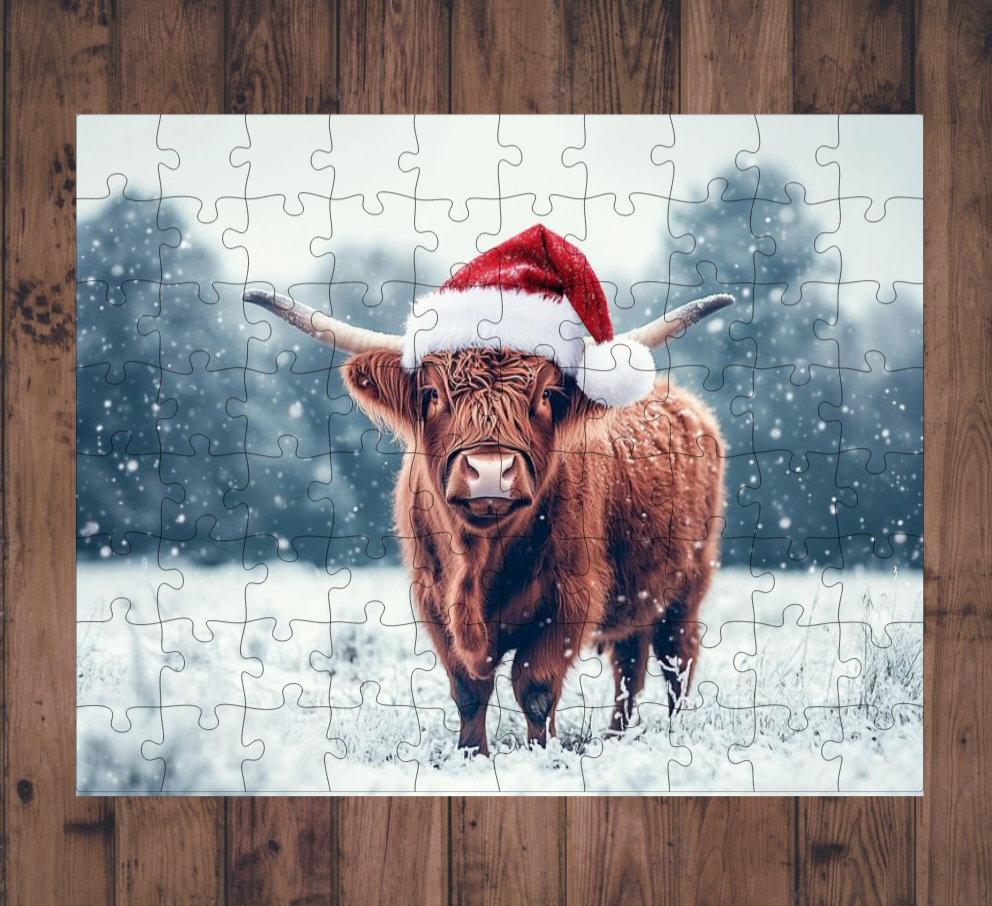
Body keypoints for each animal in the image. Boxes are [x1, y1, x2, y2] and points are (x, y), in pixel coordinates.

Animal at [244, 228, 729, 755]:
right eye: (432, 394)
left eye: (547, 395)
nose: (490, 470)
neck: (479, 561)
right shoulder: (434, 601)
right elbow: (468, 689)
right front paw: (470, 753)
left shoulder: (570, 599)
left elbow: (534, 687)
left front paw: (543, 753)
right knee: (630, 663)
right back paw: (618, 734)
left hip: (687, 589)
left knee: (675, 662)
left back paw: (671, 734)